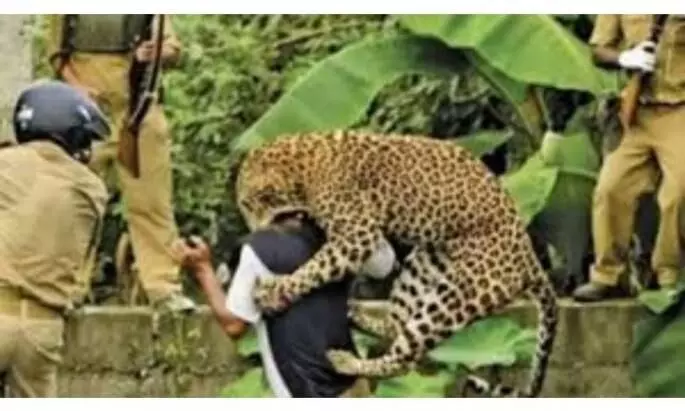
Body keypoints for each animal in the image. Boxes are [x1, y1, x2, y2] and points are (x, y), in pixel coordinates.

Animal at [233, 129, 558, 397]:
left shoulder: (357, 234)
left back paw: (346, 361)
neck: (299, 167)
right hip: (423, 266)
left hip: (457, 298)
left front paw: (274, 292)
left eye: (248, 203)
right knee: (395, 324)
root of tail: (530, 259)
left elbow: (315, 267)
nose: (251, 231)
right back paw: (355, 312)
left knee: (406, 358)